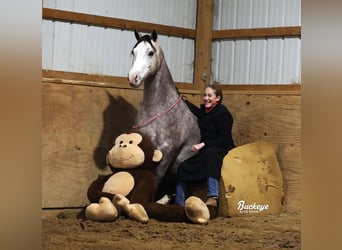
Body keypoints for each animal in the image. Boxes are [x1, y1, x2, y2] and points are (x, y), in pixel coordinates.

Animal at [127, 29, 200, 196]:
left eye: (150, 52)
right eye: (133, 51)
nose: (133, 78)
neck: (156, 110)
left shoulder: (167, 152)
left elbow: (155, 180)